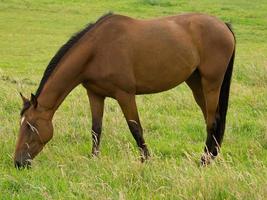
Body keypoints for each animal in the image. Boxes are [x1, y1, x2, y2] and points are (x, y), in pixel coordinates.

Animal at [14, 12, 237, 168]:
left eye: (31, 126)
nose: (18, 162)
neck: (97, 50)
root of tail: (224, 26)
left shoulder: (125, 95)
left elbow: (135, 129)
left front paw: (147, 161)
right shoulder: (95, 94)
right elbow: (96, 129)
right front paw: (94, 160)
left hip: (211, 83)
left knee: (212, 121)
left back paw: (204, 161)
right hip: (196, 83)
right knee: (212, 119)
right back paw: (211, 157)